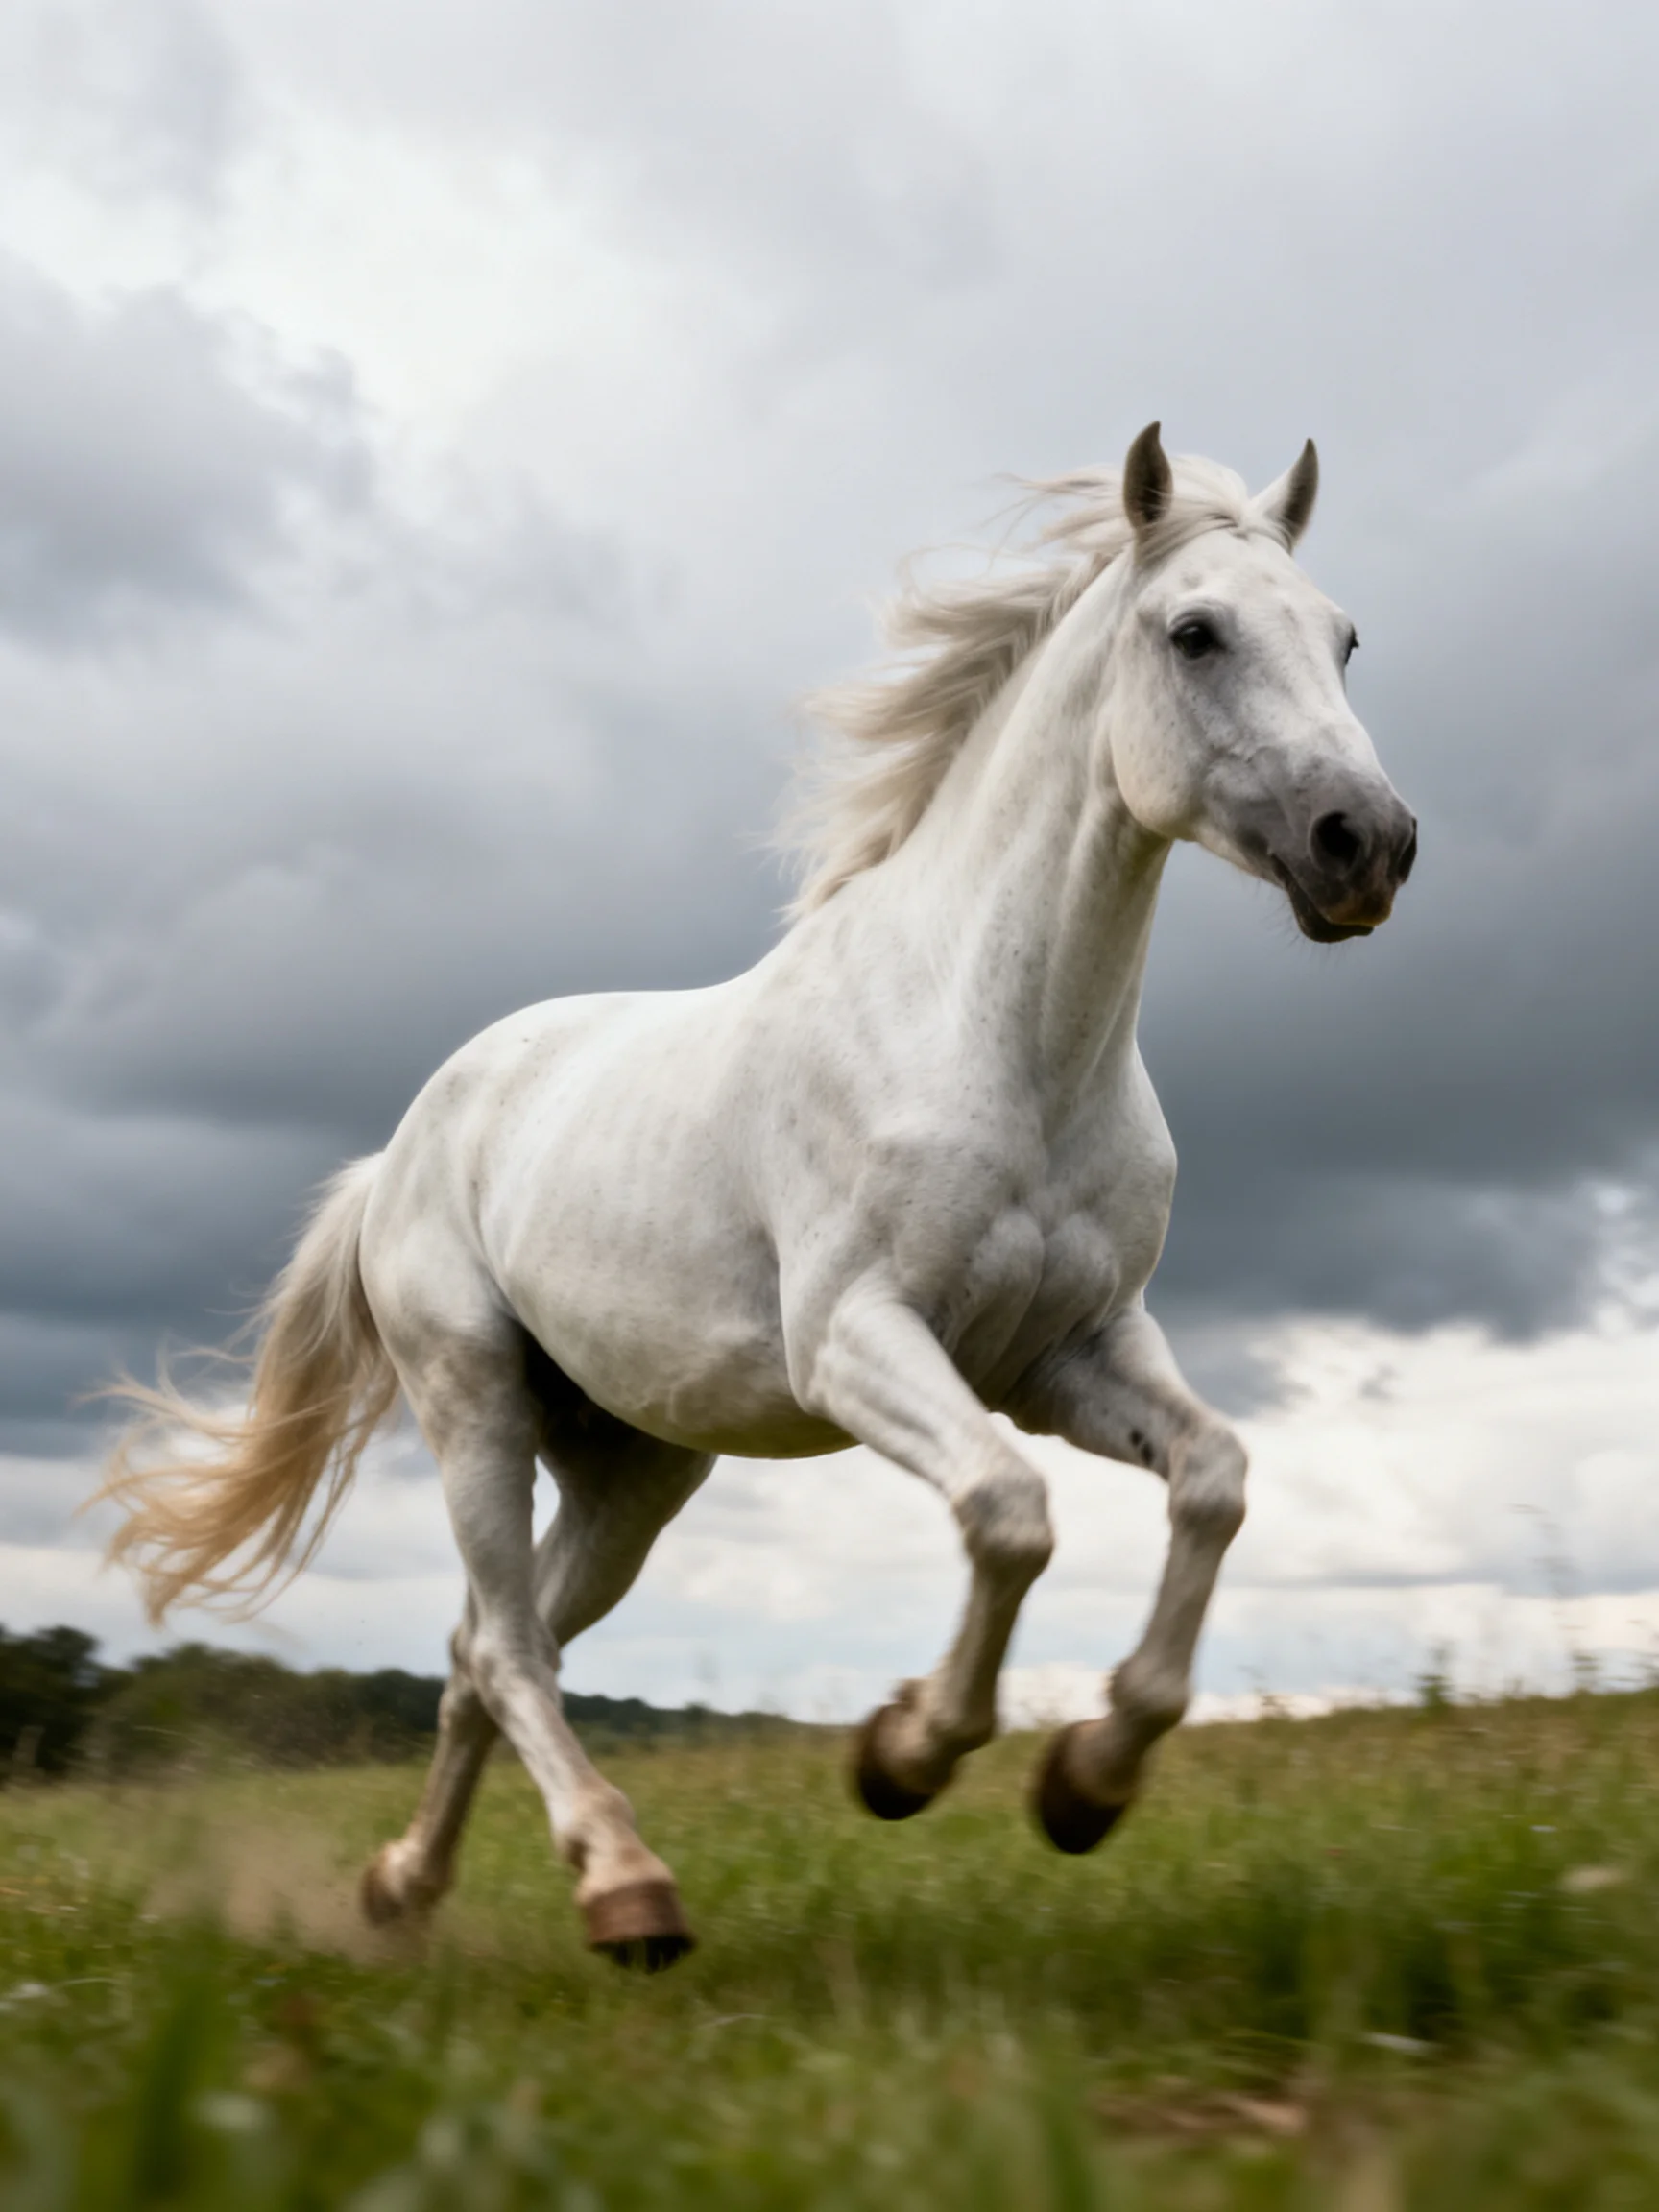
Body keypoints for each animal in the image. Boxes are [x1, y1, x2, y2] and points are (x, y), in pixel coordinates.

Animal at [99, 424, 1416, 1970]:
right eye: (1195, 631)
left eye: (1344, 635)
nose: (1367, 842)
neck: (1000, 1042)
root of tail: (402, 1148)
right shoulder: (857, 1339)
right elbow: (1010, 1512)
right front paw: (906, 1754)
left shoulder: (1071, 1353)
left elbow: (1213, 1483)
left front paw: (1087, 1781)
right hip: (473, 1398)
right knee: (508, 1647)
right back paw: (623, 1889)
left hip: (634, 1472)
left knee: (481, 1655)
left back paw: (405, 1894)